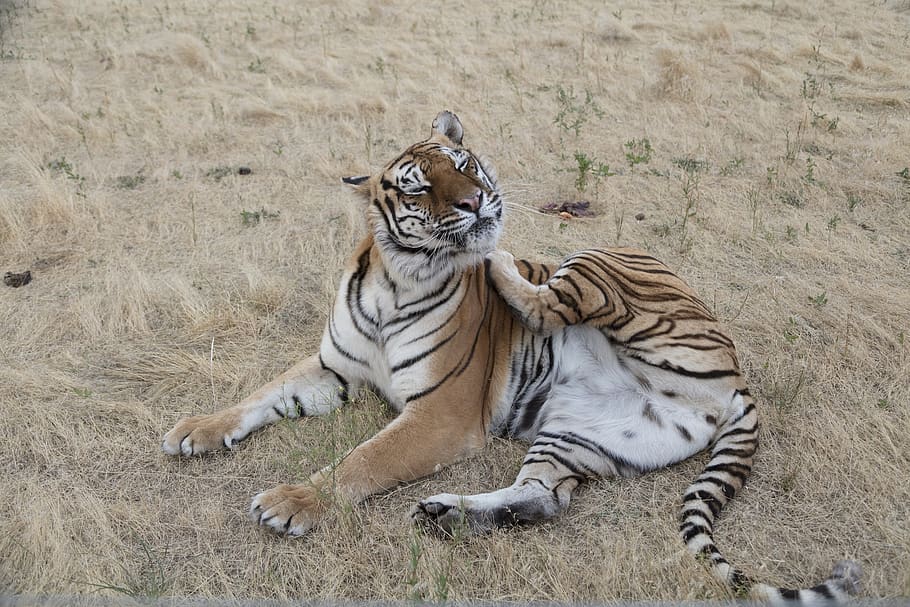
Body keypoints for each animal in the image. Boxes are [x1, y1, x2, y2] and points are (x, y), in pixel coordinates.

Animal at [161, 111, 861, 603]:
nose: (476, 202)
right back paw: (447, 516)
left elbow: (364, 459)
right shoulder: (333, 368)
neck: (395, 280)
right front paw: (196, 430)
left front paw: (293, 502)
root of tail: (739, 380)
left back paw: (501, 265)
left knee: (555, 300)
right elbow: (259, 395)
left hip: (604, 259)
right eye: (419, 189)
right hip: (578, 433)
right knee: (545, 498)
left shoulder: (439, 414)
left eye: (465, 163)